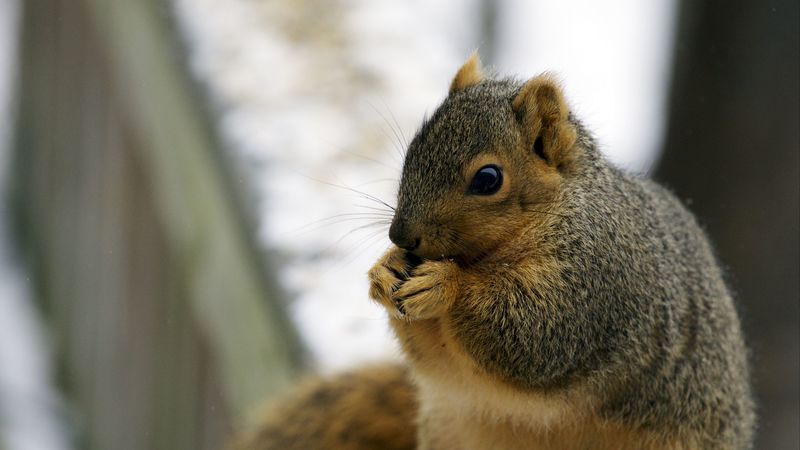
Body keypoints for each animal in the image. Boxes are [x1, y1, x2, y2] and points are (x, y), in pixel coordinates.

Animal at [233, 53, 755, 450]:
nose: (401, 236)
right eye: (412, 153)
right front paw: (385, 272)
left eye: (488, 179)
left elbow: (537, 334)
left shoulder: (595, 280)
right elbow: (436, 357)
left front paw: (446, 284)